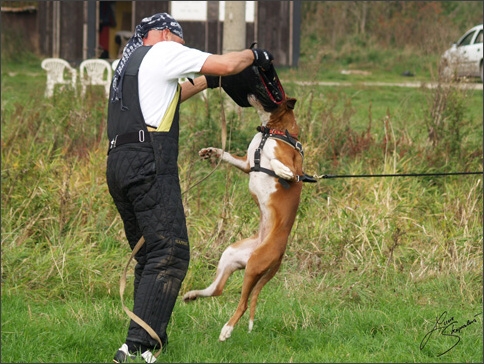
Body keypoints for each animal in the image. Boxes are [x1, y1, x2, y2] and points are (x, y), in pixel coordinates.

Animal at [183, 93, 312, 342]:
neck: (271, 131)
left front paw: (281, 170)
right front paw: (213, 151)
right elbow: (230, 156)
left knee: (242, 304)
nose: (250, 95)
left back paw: (227, 329)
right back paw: (193, 295)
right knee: (217, 289)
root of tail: (280, 252)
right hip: (231, 256)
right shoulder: (246, 164)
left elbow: (284, 165)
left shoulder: (296, 167)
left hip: (253, 267)